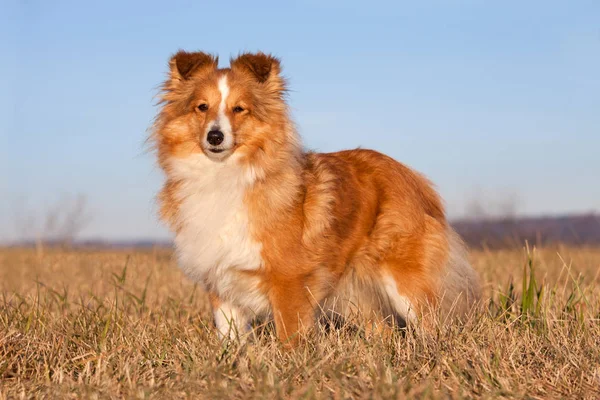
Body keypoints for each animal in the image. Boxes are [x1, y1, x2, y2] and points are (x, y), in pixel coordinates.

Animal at [152, 50, 480, 344]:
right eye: (202, 107)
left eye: (239, 109)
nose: (215, 137)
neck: (224, 175)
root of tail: (413, 176)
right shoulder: (221, 279)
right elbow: (230, 336)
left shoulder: (289, 280)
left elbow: (290, 338)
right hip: (358, 292)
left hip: (404, 281)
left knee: (433, 326)